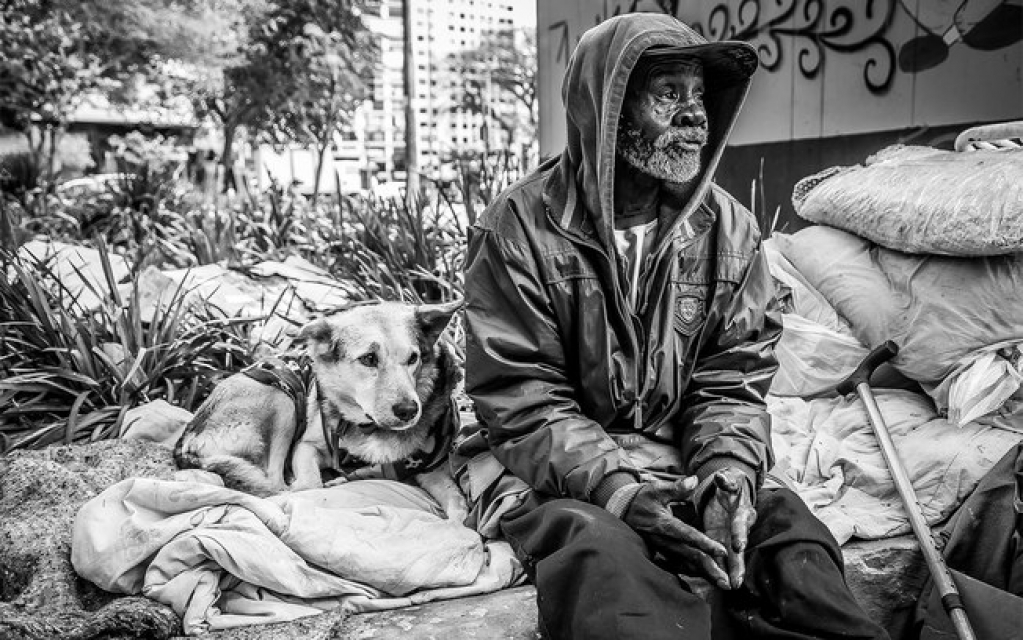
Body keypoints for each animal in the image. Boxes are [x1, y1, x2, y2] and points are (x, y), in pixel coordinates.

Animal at [172, 298, 468, 519]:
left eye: (413, 358)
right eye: (369, 358)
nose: (408, 410)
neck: (370, 426)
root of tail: (188, 439)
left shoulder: (435, 470)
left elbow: (458, 504)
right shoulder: (305, 446)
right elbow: (309, 483)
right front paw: (322, 482)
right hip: (283, 398)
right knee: (275, 483)